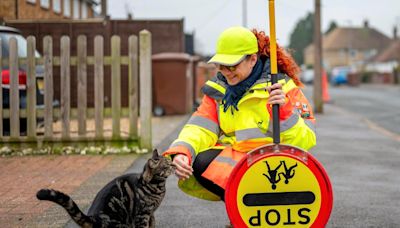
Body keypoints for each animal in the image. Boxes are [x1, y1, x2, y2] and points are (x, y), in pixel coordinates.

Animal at [36, 150, 175, 228]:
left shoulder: (151, 214)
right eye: (168, 165)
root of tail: (93, 218)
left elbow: (153, 224)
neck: (156, 185)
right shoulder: (142, 215)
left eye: (170, 162)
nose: (174, 164)